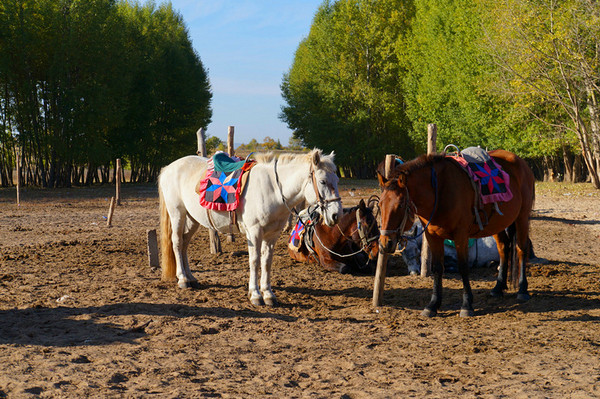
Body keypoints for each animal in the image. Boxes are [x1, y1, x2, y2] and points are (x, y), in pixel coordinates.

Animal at [159, 149, 342, 306]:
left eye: (337, 180)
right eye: (323, 181)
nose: (336, 215)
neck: (272, 189)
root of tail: (169, 168)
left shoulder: (272, 235)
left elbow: (266, 262)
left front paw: (268, 294)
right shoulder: (254, 232)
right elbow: (254, 261)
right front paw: (255, 294)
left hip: (192, 219)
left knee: (184, 244)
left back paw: (190, 277)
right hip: (178, 214)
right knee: (177, 242)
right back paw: (183, 279)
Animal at [378, 150, 536, 318]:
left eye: (400, 205)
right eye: (380, 204)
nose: (385, 242)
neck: (439, 191)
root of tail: (521, 162)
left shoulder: (461, 236)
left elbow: (463, 267)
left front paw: (467, 305)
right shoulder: (432, 236)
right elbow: (437, 268)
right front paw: (433, 305)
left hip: (522, 218)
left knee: (521, 249)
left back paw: (522, 290)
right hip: (498, 224)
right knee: (503, 248)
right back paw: (498, 287)